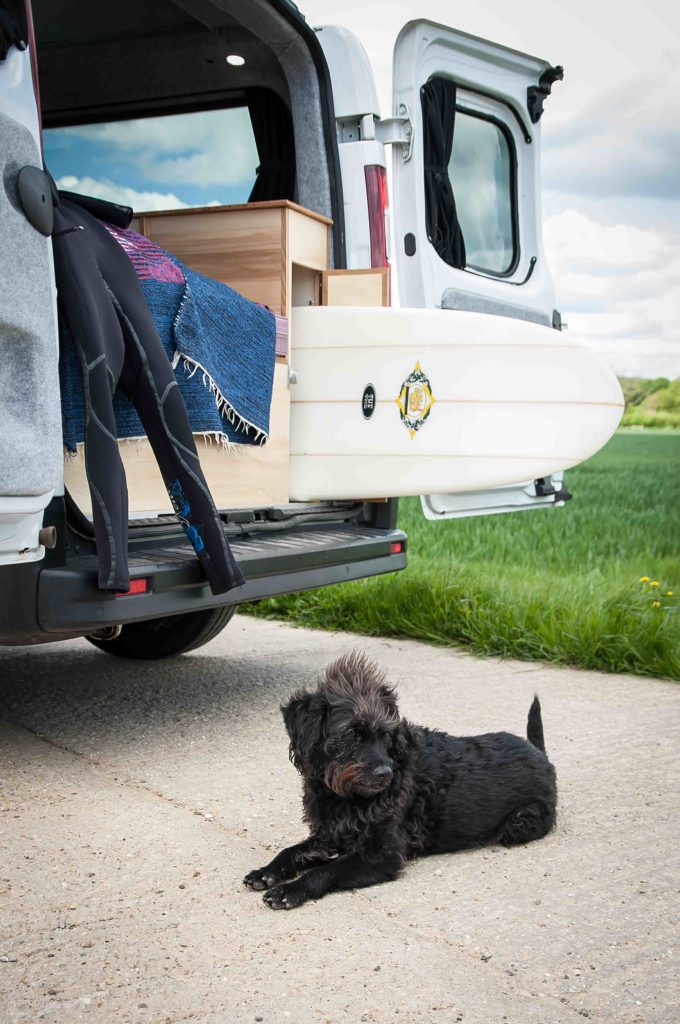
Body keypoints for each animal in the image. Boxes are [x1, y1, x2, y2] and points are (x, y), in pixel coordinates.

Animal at [244, 651, 557, 909]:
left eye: (385, 735)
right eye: (350, 734)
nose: (385, 773)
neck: (343, 796)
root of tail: (539, 752)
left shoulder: (381, 854)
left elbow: (326, 870)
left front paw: (290, 890)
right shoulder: (328, 836)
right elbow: (292, 851)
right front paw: (267, 871)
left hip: (521, 824)